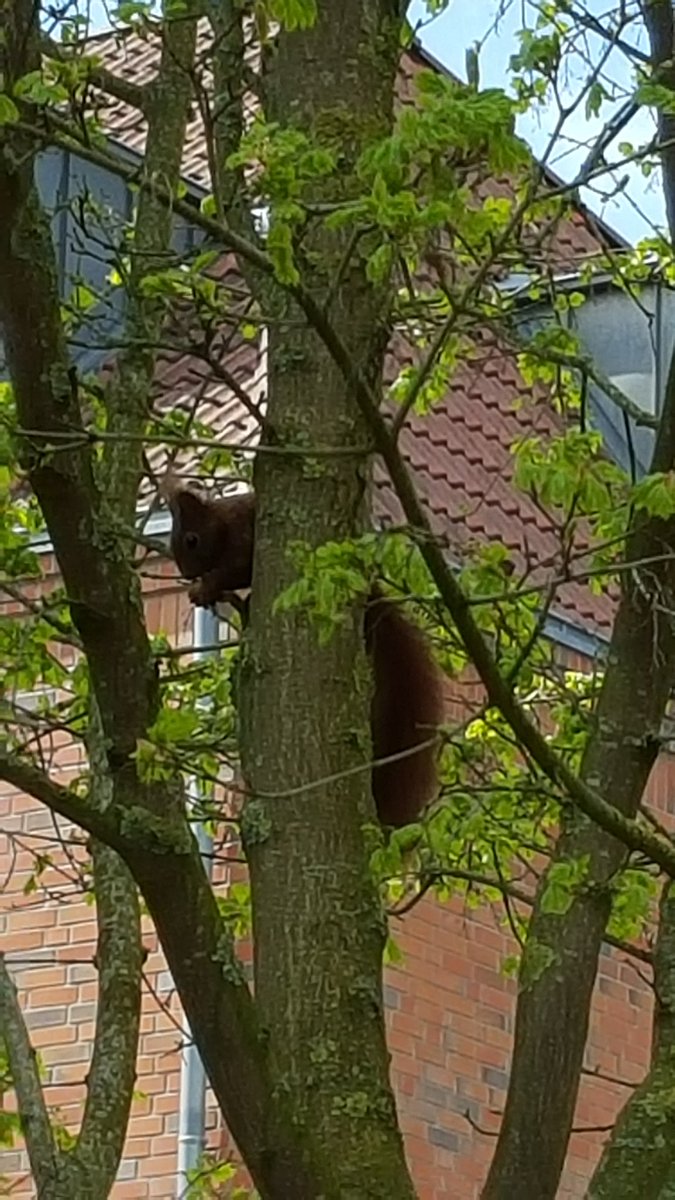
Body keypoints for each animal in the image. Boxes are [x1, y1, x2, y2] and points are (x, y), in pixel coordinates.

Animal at [162, 476, 444, 828]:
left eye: (192, 540)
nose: (186, 574)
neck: (222, 522)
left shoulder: (243, 540)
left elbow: (232, 569)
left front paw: (205, 587)